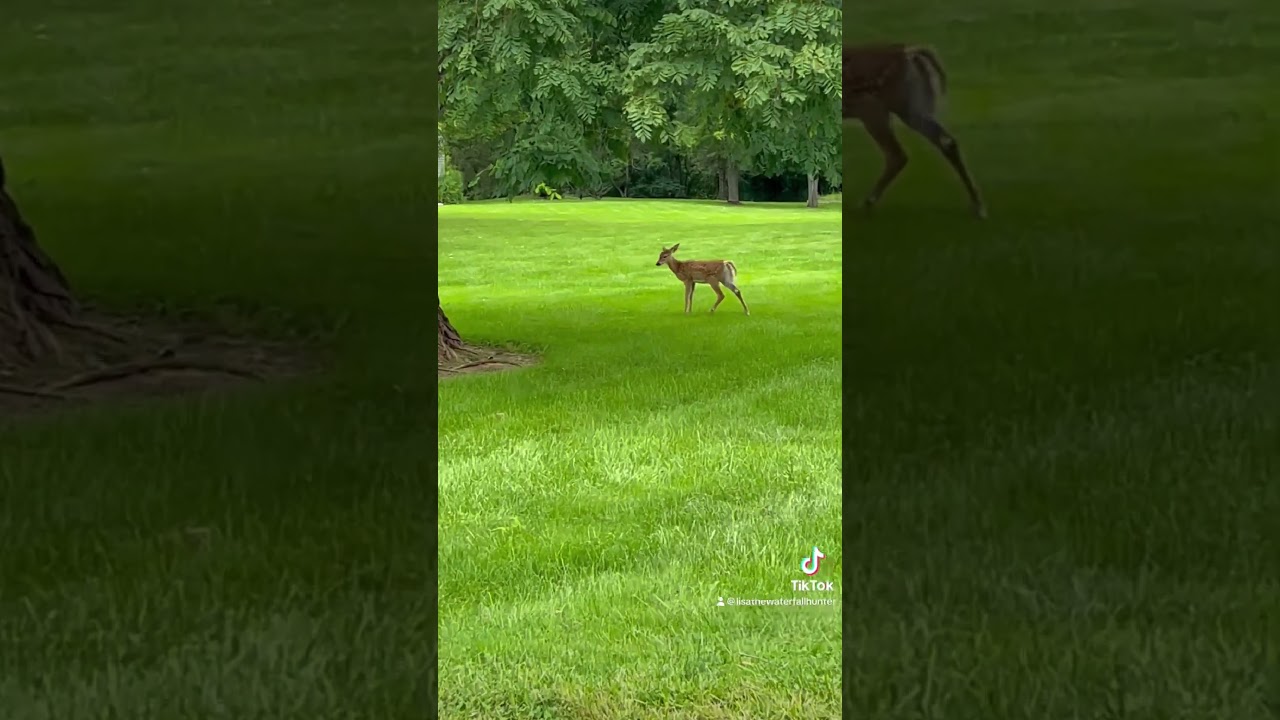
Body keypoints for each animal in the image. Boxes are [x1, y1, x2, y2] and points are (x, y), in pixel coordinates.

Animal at [844, 44, 987, 218]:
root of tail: (910, 54)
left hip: (875, 109)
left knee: (897, 154)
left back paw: (867, 202)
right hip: (911, 108)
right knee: (946, 142)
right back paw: (978, 205)